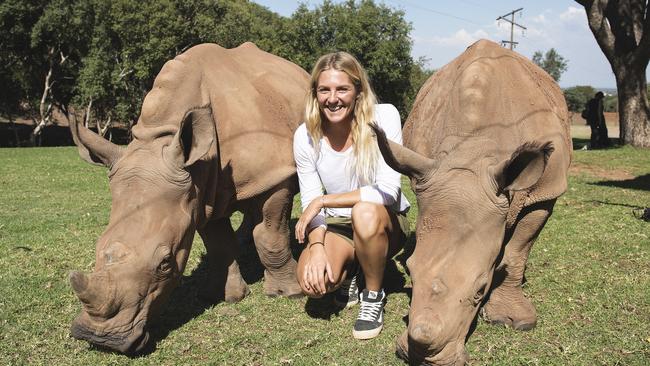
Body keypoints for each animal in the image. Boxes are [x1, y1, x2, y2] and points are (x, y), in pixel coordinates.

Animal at [67, 43, 308, 354]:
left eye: (165, 263)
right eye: (97, 247)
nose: (101, 339)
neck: (161, 134)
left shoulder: (273, 176)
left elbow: (271, 237)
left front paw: (288, 294)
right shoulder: (199, 191)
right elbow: (219, 245)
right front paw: (223, 296)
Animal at [372, 38, 568, 364]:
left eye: (480, 289)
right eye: (410, 272)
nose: (423, 358)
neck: (473, 151)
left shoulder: (546, 188)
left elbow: (517, 250)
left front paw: (514, 321)